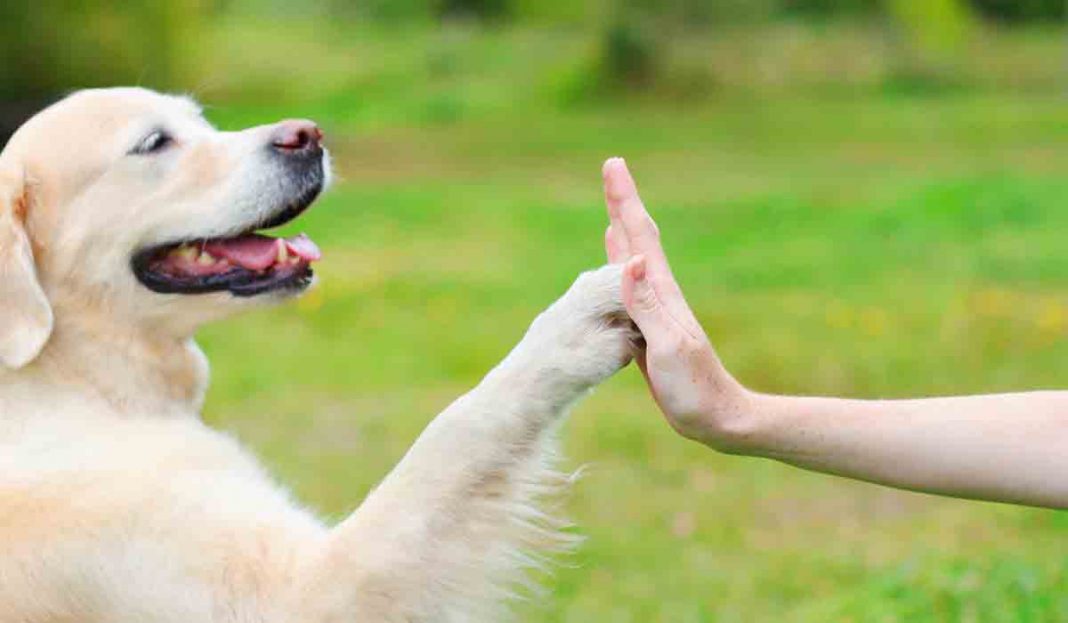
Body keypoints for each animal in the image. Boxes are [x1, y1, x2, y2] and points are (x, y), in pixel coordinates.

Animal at [0, 89, 632, 623]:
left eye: (200, 120)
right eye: (154, 142)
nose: (307, 135)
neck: (81, 381)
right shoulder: (299, 593)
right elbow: (458, 430)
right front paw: (574, 325)